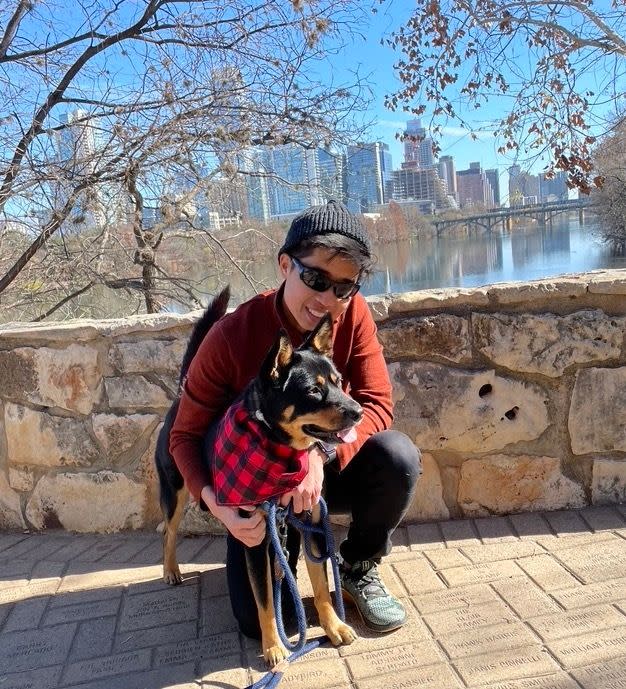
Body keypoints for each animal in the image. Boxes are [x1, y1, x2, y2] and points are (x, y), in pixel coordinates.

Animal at [154, 284, 364, 660]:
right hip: (174, 491)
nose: (358, 411)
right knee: (168, 532)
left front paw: (334, 626)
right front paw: (274, 647)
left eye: (339, 382)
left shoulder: (310, 522)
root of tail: (179, 398)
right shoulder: (254, 538)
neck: (277, 449)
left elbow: (322, 585)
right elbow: (265, 600)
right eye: (314, 390)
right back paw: (171, 570)